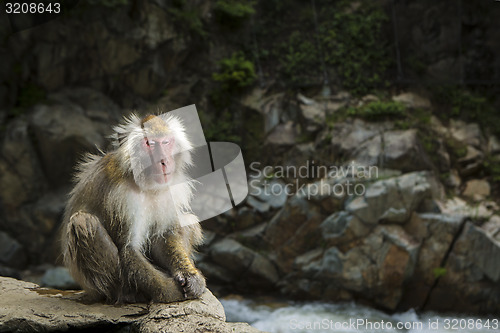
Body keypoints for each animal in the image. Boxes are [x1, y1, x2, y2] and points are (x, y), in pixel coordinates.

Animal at [60, 113, 205, 302]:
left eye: (166, 142)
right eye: (150, 144)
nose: (164, 161)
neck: (146, 184)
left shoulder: (169, 192)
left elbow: (163, 237)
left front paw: (190, 276)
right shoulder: (121, 199)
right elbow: (129, 249)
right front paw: (170, 292)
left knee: (188, 220)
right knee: (83, 221)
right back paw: (125, 293)